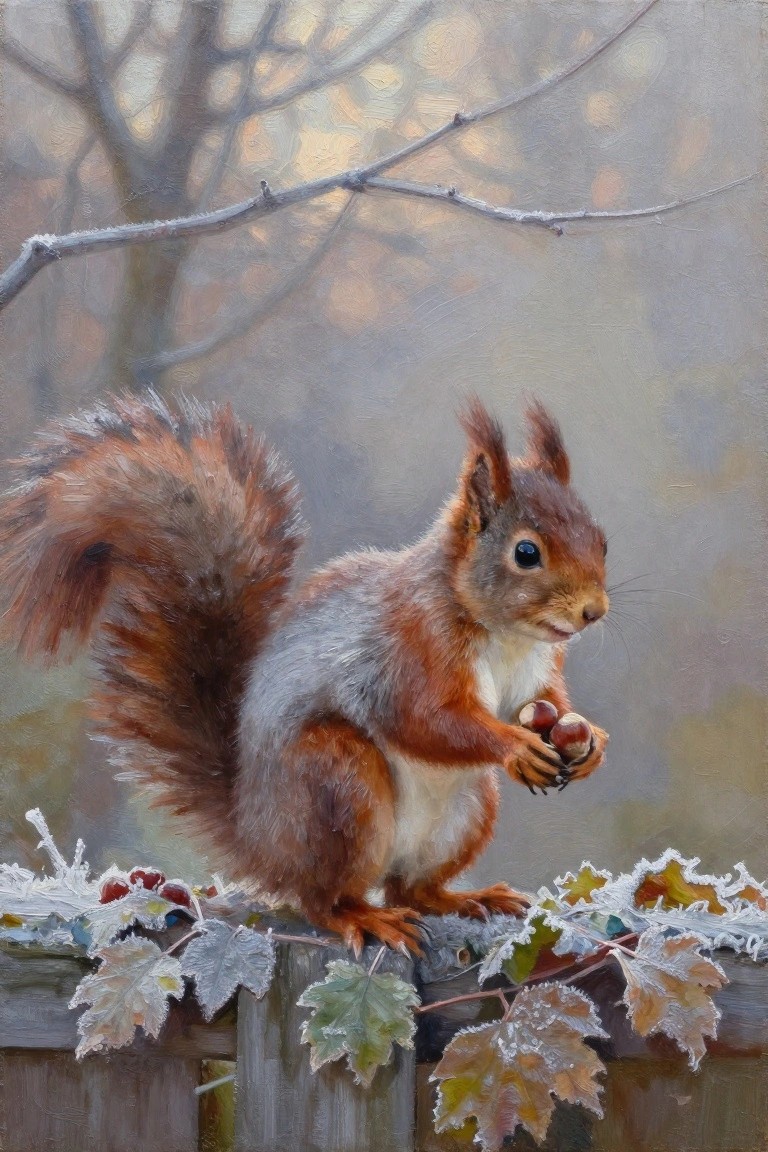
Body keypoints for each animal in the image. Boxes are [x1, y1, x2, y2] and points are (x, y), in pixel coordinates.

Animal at [0, 392, 609, 954]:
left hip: (467, 810)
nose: (593, 612)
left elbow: (545, 702)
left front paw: (589, 740)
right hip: (336, 785)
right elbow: (423, 719)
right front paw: (515, 746)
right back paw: (365, 918)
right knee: (323, 900)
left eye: (600, 539)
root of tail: (257, 838)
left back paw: (463, 898)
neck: (504, 634)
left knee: (410, 889)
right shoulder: (408, 650)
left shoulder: (535, 674)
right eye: (526, 553)